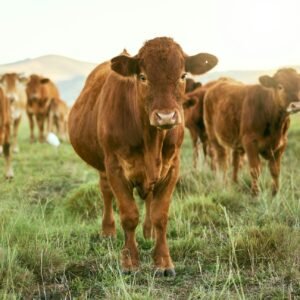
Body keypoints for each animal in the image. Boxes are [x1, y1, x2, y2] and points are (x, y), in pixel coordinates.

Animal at [68, 36, 218, 276]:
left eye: (183, 75)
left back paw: (148, 233)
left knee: (148, 199)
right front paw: (129, 262)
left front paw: (163, 261)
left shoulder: (172, 167)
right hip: (103, 165)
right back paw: (108, 231)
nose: (166, 116)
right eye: (143, 77)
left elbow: (160, 215)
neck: (151, 140)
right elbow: (129, 215)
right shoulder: (115, 167)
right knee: (106, 192)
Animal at [204, 67, 300, 195]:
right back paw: (224, 185)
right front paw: (255, 193)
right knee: (222, 161)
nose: (296, 105)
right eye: (280, 86)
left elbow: (275, 170)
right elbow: (255, 170)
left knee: (235, 162)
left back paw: (235, 183)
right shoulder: (249, 142)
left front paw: (275, 192)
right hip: (214, 137)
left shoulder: (281, 144)